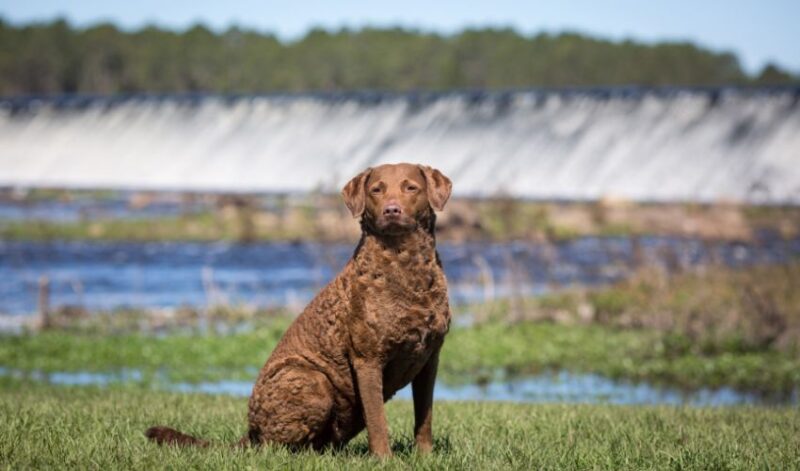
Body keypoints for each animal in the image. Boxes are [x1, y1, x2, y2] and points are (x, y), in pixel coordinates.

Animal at [147, 164, 454, 460]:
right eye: (376, 190)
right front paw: (383, 460)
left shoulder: (430, 358)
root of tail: (251, 431)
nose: (391, 209)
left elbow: (424, 416)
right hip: (311, 380)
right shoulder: (368, 359)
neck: (405, 266)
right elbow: (378, 420)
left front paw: (425, 457)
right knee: (277, 446)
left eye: (411, 188)